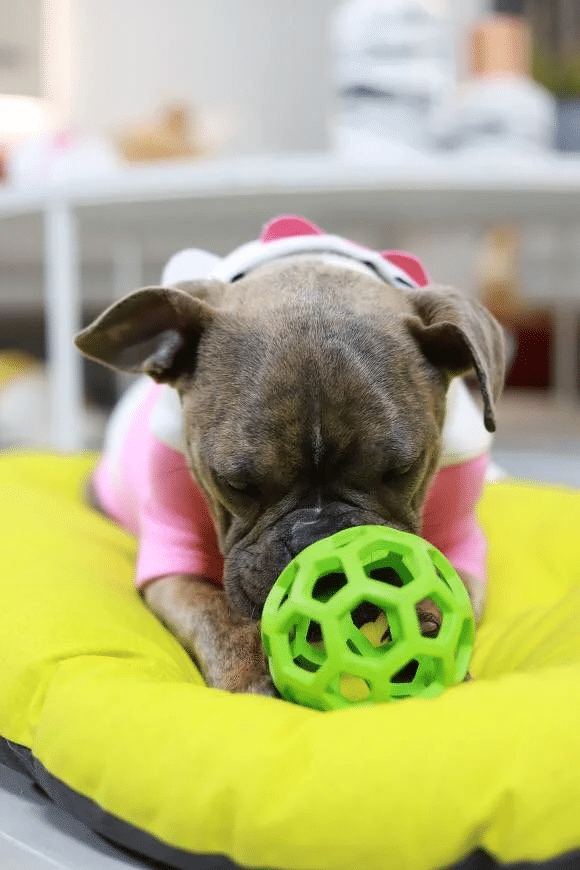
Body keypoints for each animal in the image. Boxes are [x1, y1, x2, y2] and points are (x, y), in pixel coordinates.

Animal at [75, 215, 506, 696]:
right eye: (235, 484)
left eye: (402, 471)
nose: (319, 539)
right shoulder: (172, 560)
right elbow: (212, 611)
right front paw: (249, 671)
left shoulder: (461, 541)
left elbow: (448, 580)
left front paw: (422, 628)